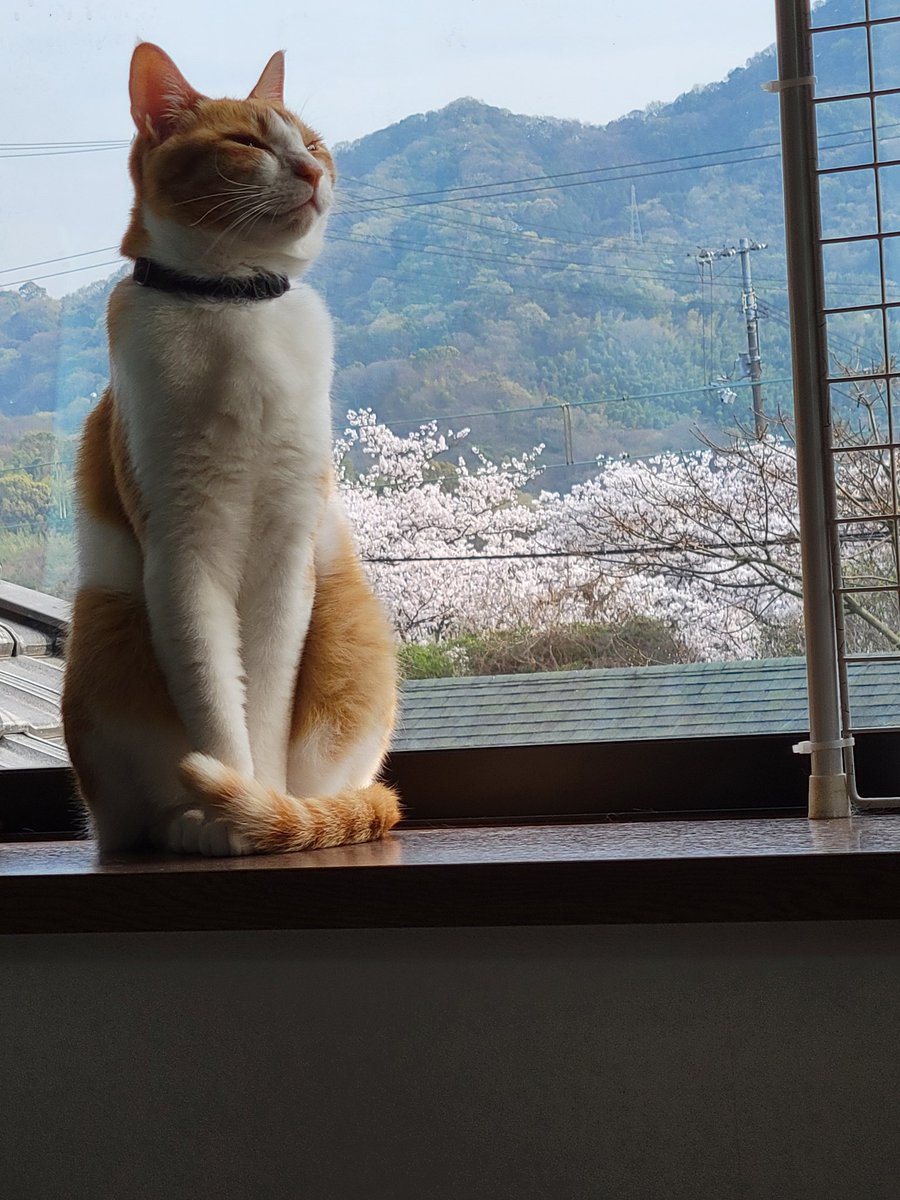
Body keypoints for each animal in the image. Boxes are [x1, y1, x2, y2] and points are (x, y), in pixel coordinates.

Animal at [61, 42, 400, 859]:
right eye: (247, 143)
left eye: (313, 144)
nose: (310, 171)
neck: (233, 305)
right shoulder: (185, 554)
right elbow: (217, 704)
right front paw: (227, 808)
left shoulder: (286, 548)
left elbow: (265, 705)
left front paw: (262, 807)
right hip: (108, 623)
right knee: (131, 821)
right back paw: (185, 825)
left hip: (348, 620)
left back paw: (295, 810)